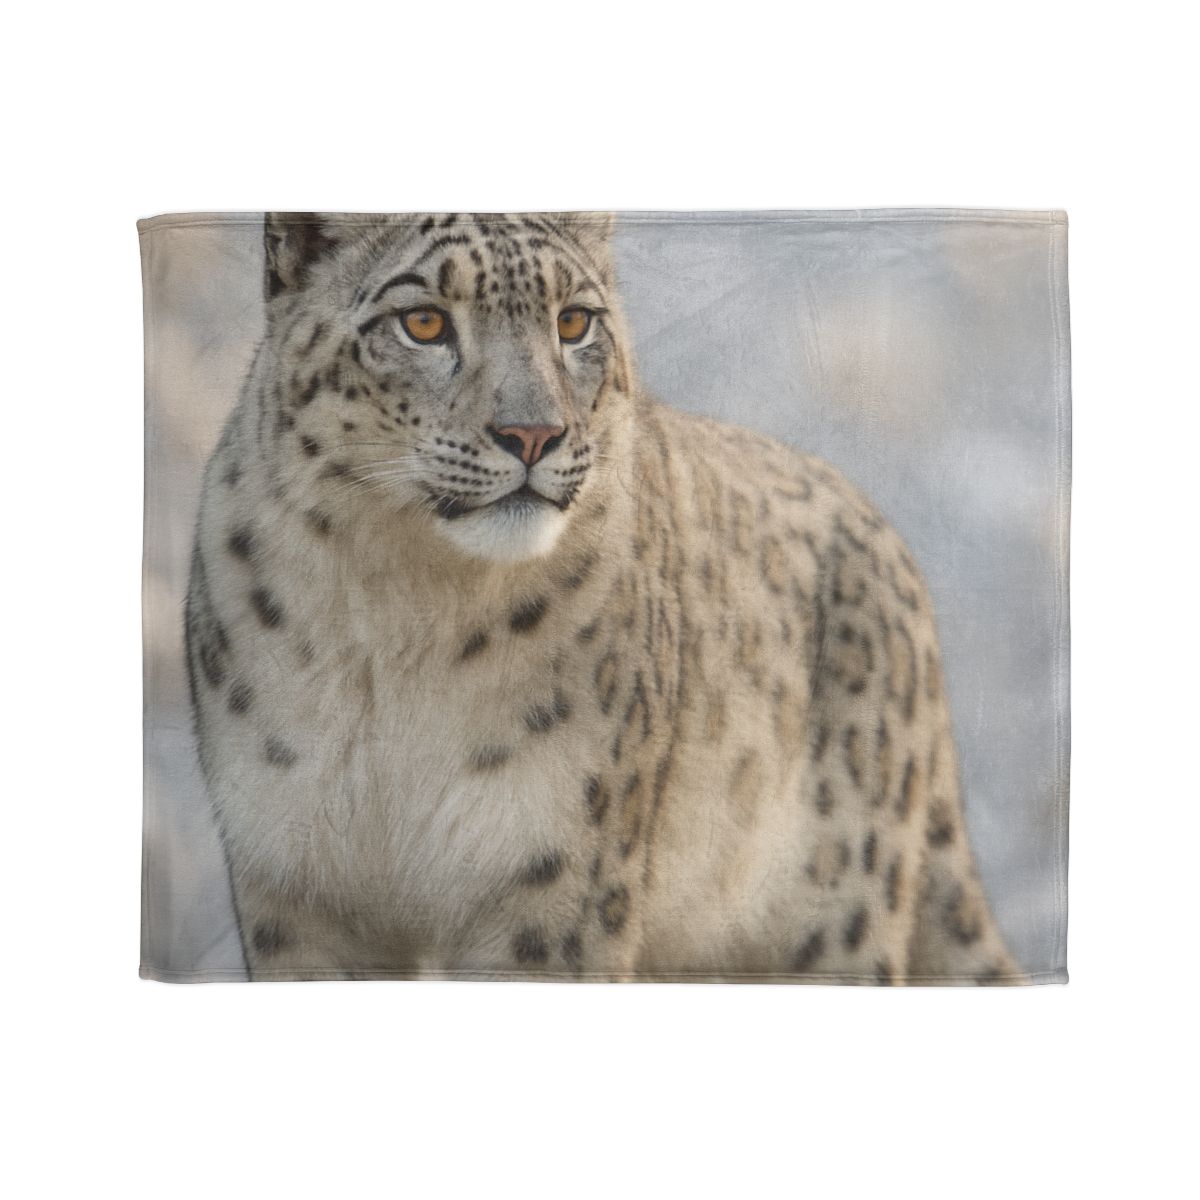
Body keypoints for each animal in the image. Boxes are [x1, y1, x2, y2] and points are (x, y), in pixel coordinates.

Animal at [185, 211, 1022, 983]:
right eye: (423, 322)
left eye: (573, 321)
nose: (533, 434)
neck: (400, 620)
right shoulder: (294, 884)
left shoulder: (556, 883)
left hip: (833, 921)